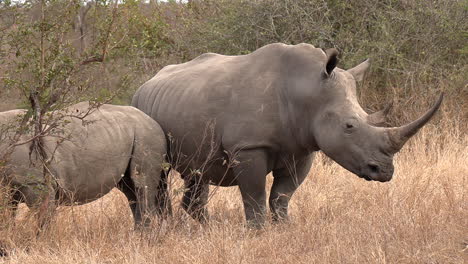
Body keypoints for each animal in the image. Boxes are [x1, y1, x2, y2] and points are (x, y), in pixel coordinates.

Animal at [0, 102, 167, 228]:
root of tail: (151, 119)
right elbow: (7, 217)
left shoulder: (35, 183)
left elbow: (43, 216)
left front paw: (39, 244)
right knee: (129, 190)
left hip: (147, 135)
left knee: (142, 186)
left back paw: (143, 240)